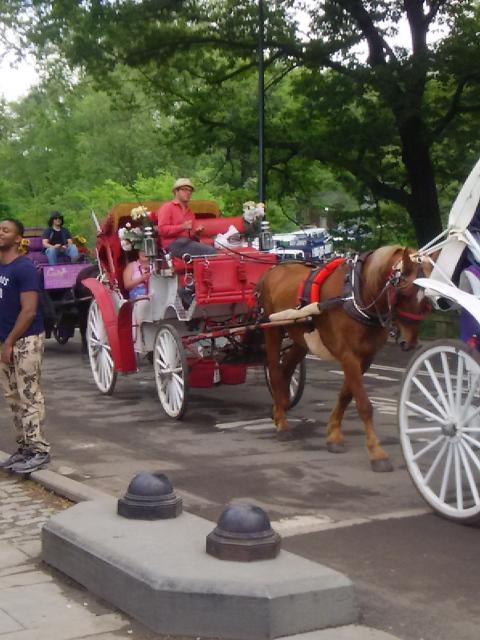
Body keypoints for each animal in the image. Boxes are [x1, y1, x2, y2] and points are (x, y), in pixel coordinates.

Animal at [258, 246, 431, 472]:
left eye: (427, 300)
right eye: (404, 292)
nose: (409, 342)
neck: (357, 297)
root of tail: (272, 271)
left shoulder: (365, 358)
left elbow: (346, 395)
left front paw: (333, 435)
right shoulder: (348, 355)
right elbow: (364, 405)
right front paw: (377, 453)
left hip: (300, 338)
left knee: (286, 368)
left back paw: (280, 409)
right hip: (273, 330)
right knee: (275, 371)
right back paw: (282, 423)